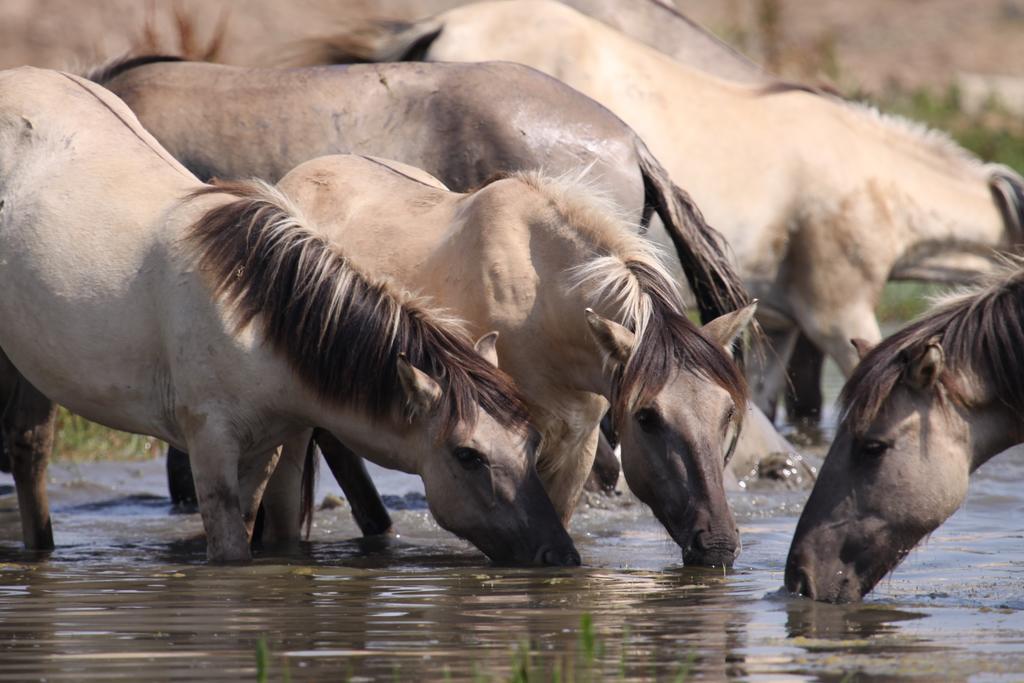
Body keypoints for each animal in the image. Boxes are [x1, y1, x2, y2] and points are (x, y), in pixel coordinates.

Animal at [0, 65, 577, 565]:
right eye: (467, 455)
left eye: (532, 442)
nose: (560, 555)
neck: (251, 311)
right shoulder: (210, 444)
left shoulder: (265, 447)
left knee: (30, 450)